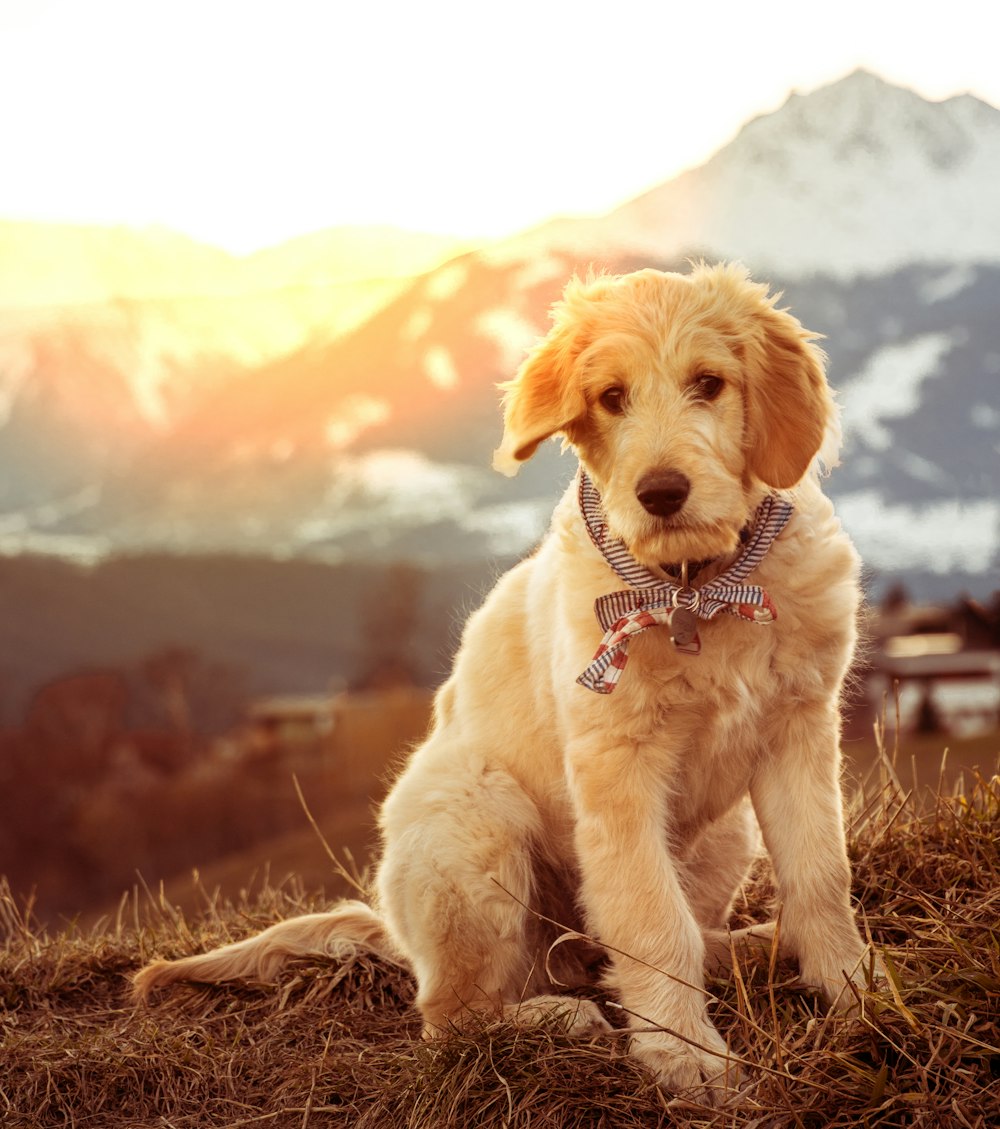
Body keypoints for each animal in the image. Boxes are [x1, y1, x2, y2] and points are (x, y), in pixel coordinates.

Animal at [137, 264, 871, 1101]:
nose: (660, 492)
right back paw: (559, 1016)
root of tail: (397, 932)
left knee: (616, 948)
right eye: (611, 396)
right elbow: (650, 916)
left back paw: (747, 946)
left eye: (709, 383)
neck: (696, 589)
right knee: (458, 1013)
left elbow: (820, 873)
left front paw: (855, 993)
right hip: (474, 816)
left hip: (723, 832)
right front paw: (686, 1057)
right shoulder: (617, 767)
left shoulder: (799, 729)